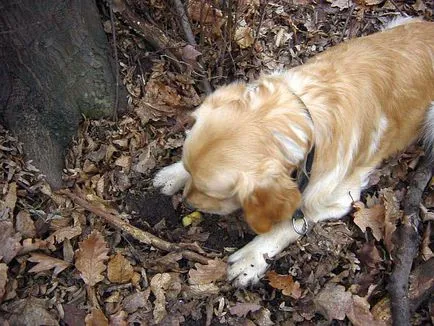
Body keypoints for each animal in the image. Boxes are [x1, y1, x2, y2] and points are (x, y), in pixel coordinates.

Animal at [153, 17, 434, 286]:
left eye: (213, 194)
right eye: (188, 171)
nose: (187, 201)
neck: (300, 116)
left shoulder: (339, 196)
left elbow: (293, 221)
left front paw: (251, 258)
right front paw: (174, 174)